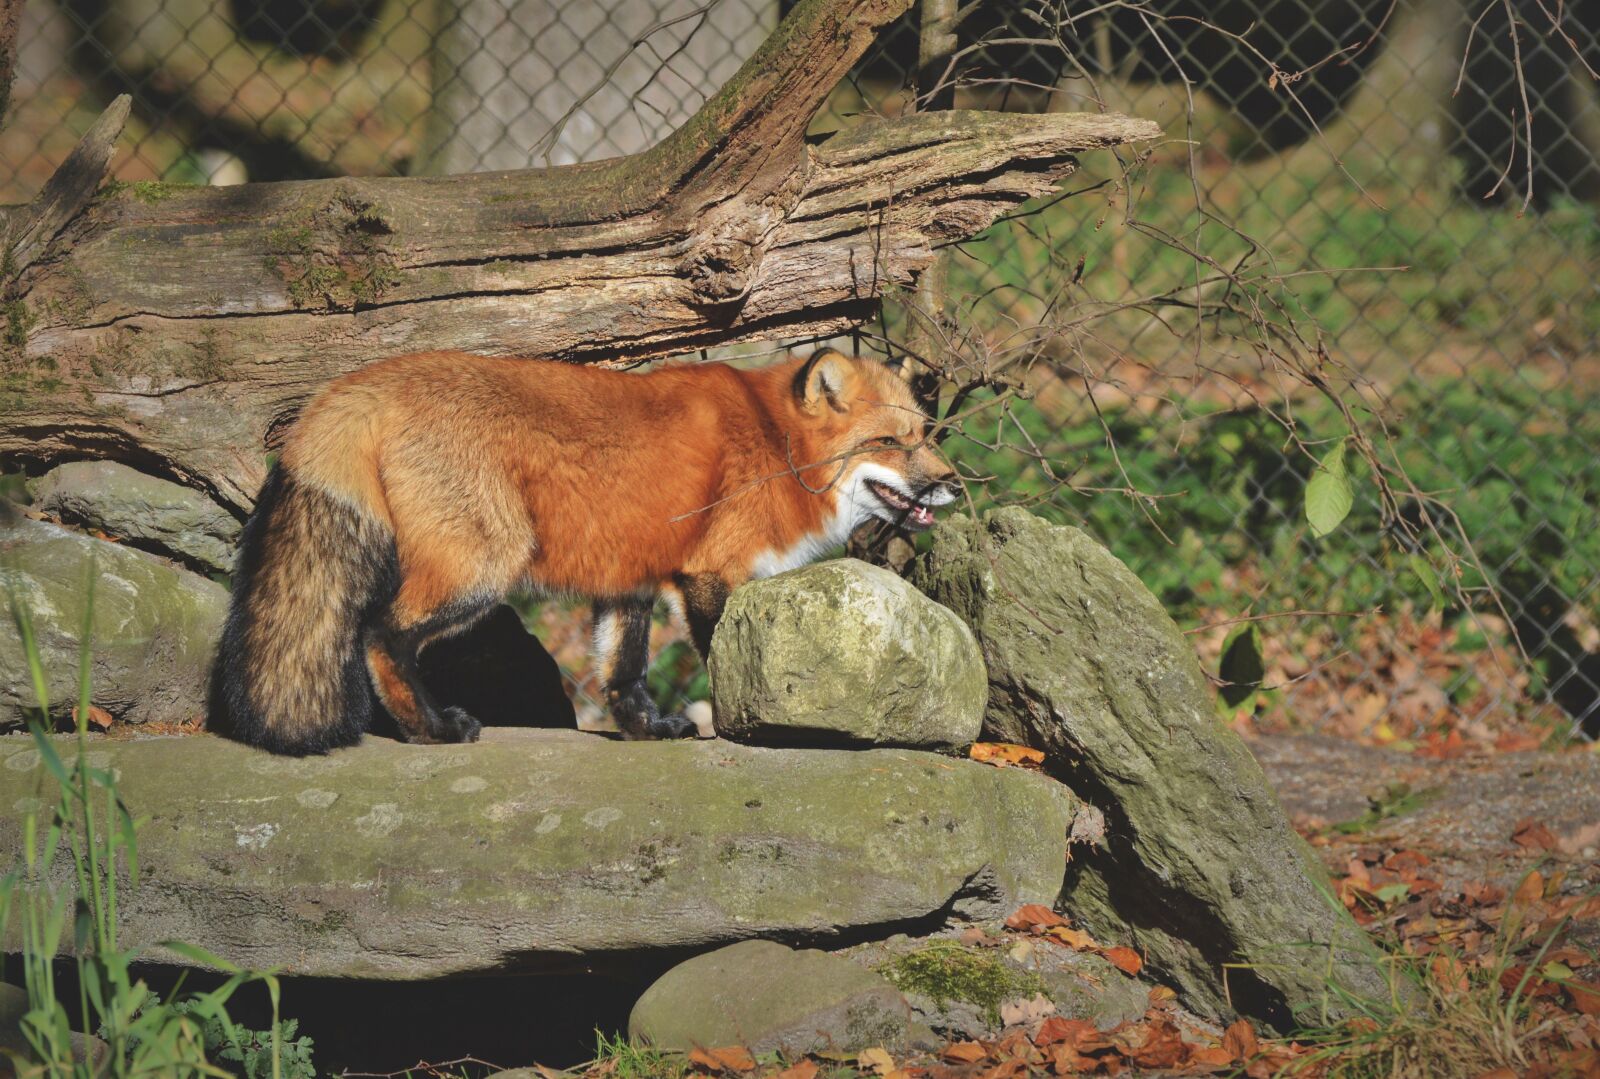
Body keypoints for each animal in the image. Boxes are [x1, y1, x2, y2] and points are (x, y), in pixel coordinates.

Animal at [213, 347, 961, 755]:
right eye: (890, 444)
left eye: (926, 435)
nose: (954, 482)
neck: (776, 444)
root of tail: (365, 380)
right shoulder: (709, 573)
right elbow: (723, 663)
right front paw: (747, 731)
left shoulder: (629, 578)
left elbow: (623, 674)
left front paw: (646, 731)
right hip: (482, 570)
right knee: (379, 634)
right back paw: (430, 729)